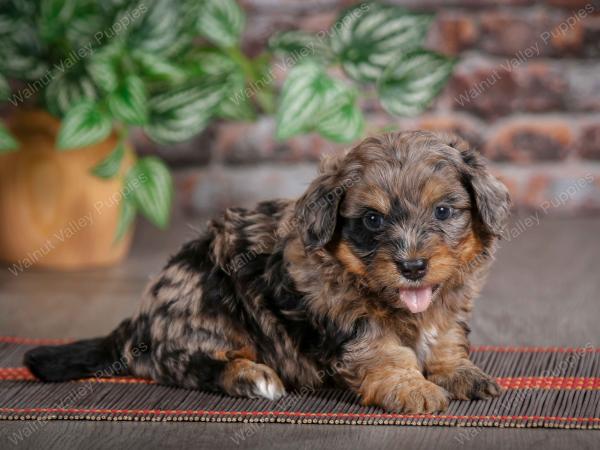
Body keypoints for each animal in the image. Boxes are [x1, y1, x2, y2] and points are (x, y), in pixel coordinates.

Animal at [24, 132, 510, 414]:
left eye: (443, 211)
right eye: (372, 220)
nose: (412, 266)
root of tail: (139, 321)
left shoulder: (449, 304)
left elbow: (445, 337)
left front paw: (458, 372)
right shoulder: (347, 315)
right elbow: (383, 351)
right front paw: (411, 388)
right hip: (206, 294)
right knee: (183, 363)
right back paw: (251, 377)